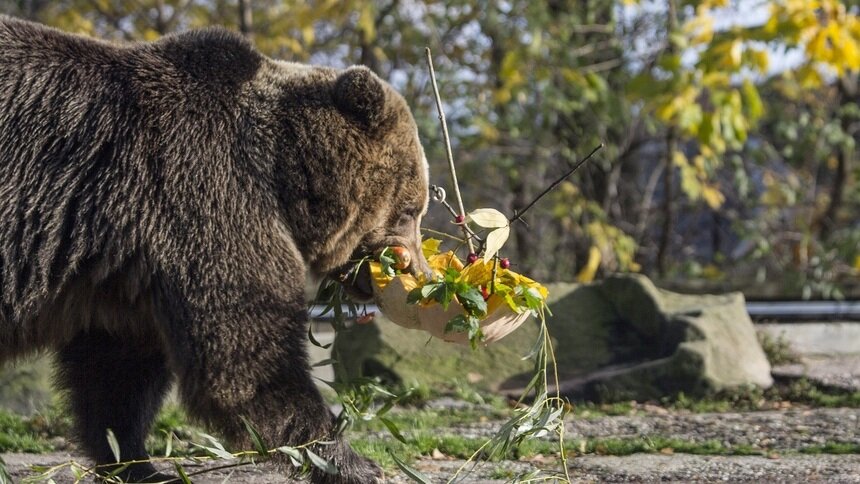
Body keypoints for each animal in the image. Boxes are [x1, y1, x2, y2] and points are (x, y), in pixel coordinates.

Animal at [0, 13, 430, 482]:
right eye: (411, 211)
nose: (420, 271)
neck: (282, 173)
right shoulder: (202, 195)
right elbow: (246, 350)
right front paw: (348, 459)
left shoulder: (126, 270)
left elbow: (116, 372)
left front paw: (140, 464)